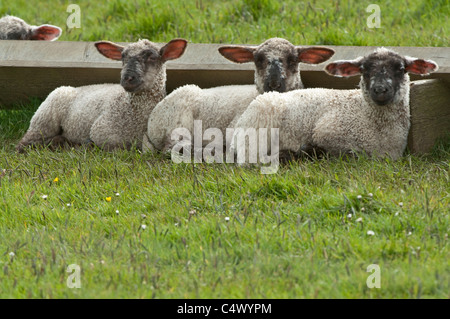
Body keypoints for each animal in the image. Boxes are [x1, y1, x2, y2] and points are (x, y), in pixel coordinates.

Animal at [16, 37, 187, 152]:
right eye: (123, 57)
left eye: (152, 57)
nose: (127, 78)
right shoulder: (101, 132)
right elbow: (116, 147)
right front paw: (87, 144)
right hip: (43, 119)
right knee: (25, 142)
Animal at [232, 47, 440, 162]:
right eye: (364, 70)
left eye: (401, 68)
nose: (380, 89)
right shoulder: (326, 132)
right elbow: (349, 153)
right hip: (254, 137)